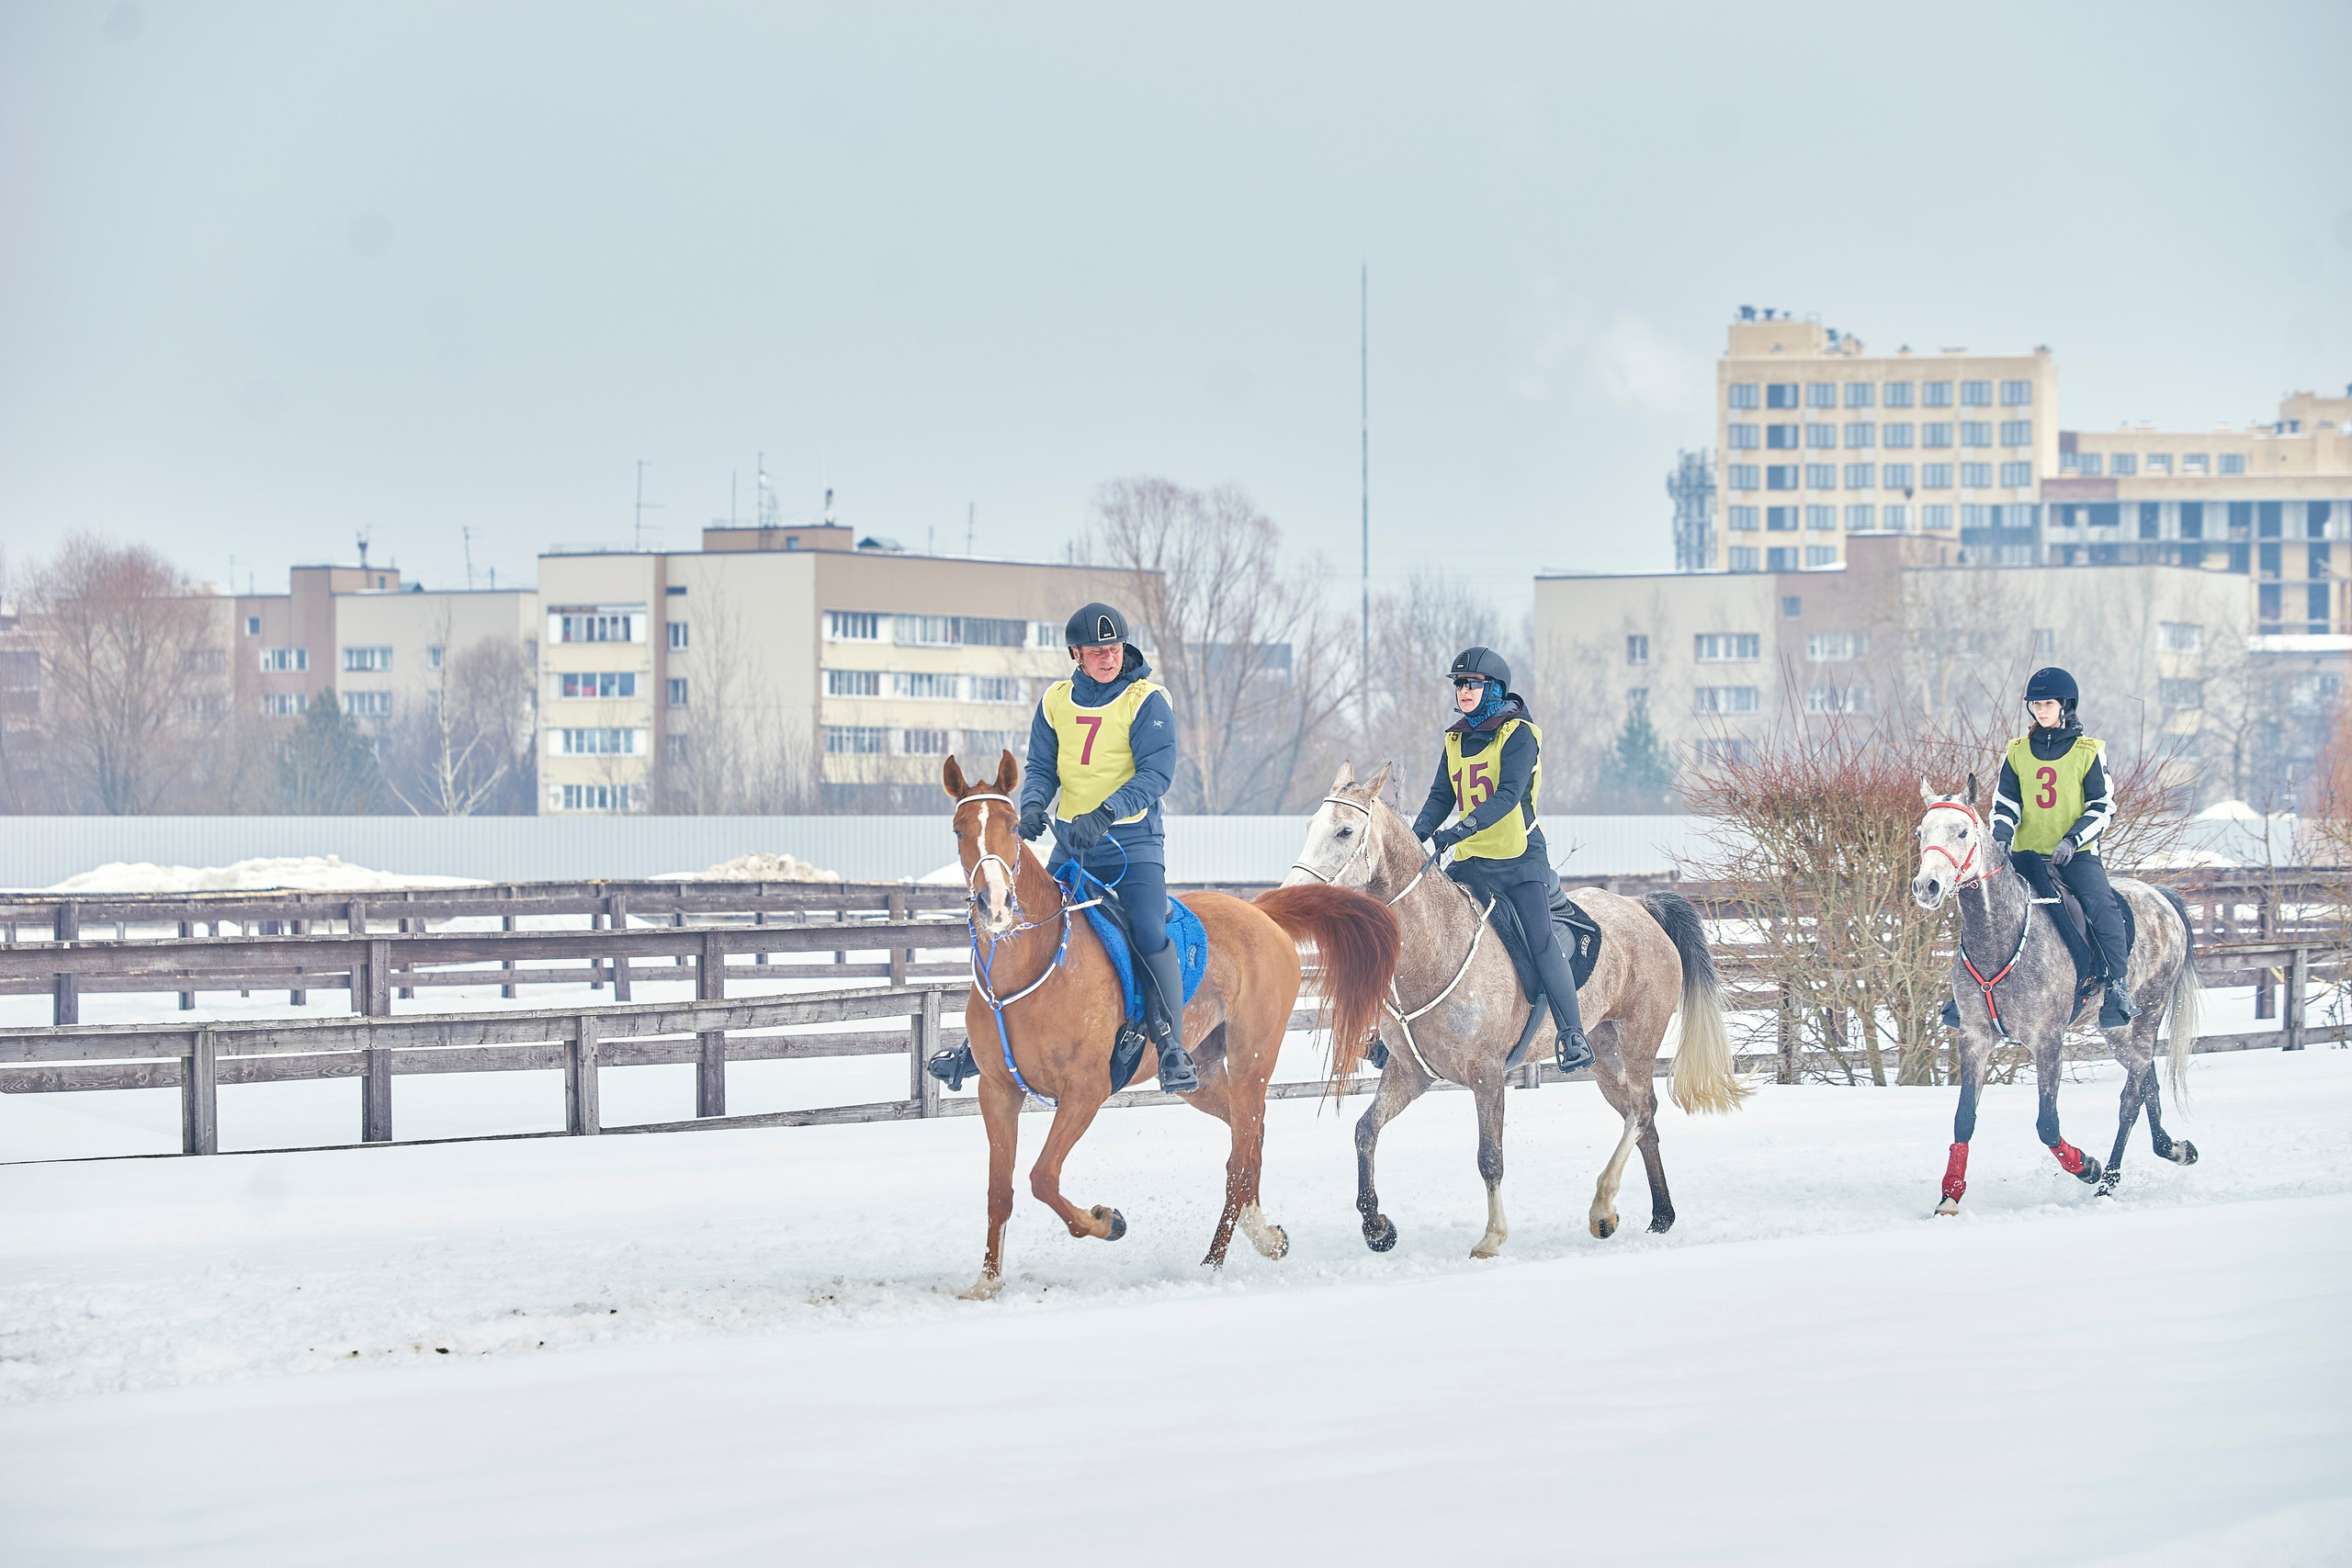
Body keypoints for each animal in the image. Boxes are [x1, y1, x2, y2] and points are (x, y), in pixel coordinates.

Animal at [942, 751, 1400, 1300]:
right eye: (959, 830)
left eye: (1012, 828)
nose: (995, 904)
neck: (1032, 968)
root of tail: (1260, 913)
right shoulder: (997, 1091)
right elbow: (1001, 1190)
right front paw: (987, 1282)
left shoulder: (1085, 1092)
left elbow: (1043, 1177)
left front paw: (1107, 1221)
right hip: (1203, 1078)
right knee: (1248, 1141)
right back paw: (1261, 1231)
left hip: (1251, 1061)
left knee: (1240, 1156)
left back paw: (1223, 1256)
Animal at [1283, 761, 1749, 1257]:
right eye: (1311, 827)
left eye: (1345, 831)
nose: (1292, 898)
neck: (1436, 944)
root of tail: (1641, 908)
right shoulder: (1410, 1073)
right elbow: (1365, 1131)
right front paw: (1377, 1227)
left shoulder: (1487, 1076)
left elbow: (1490, 1157)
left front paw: (1492, 1237)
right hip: (1606, 1056)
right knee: (1641, 1120)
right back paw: (1660, 1215)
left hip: (1639, 1042)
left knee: (1641, 1112)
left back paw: (1603, 1206)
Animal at [1911, 779, 2202, 1214]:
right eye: (1920, 833)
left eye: (1961, 832)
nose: (1926, 886)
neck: (1999, 936)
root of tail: (2161, 896)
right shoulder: (1975, 1038)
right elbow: (1965, 1118)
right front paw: (1949, 1196)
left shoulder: (2047, 1041)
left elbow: (2047, 1124)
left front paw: (2087, 1166)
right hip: (2117, 1032)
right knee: (2146, 1081)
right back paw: (2173, 1149)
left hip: (2149, 1013)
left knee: (2130, 1098)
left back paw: (2108, 1180)